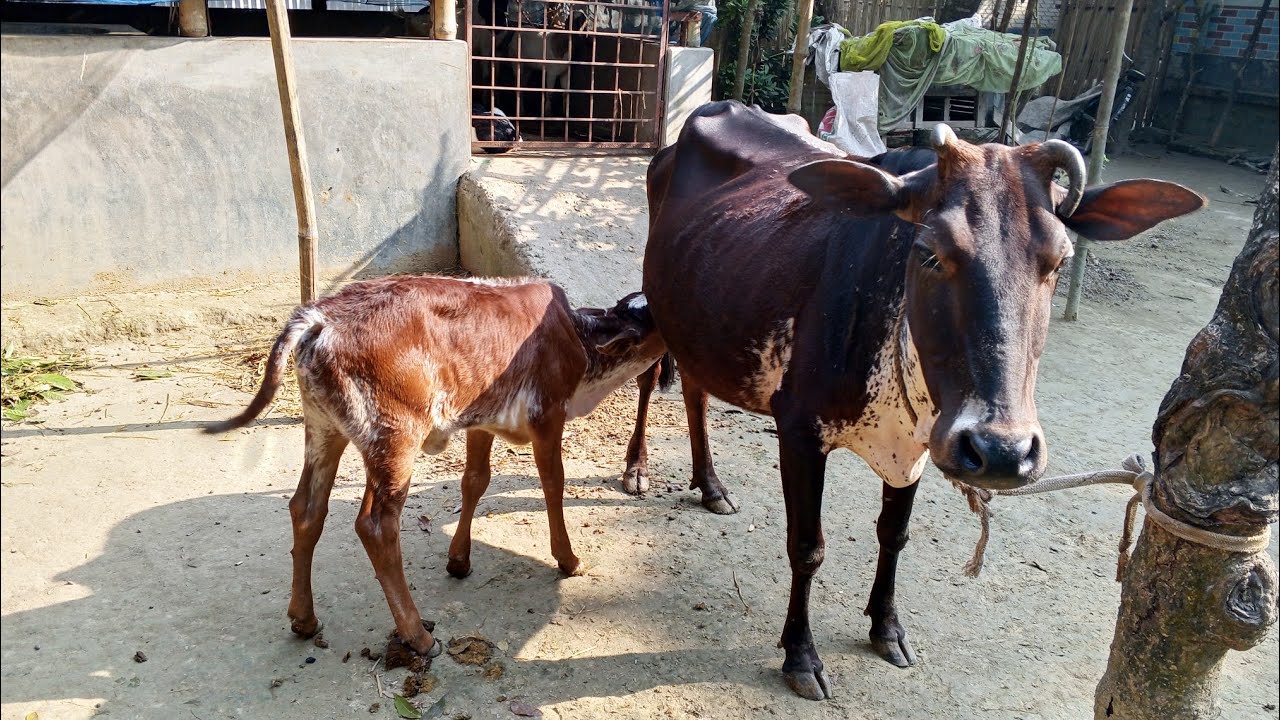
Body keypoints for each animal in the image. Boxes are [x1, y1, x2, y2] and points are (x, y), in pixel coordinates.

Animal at [205, 276, 668, 661]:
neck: (582, 342)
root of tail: (317, 319)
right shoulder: (547, 415)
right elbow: (553, 485)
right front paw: (569, 560)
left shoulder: (482, 419)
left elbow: (474, 482)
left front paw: (458, 561)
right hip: (396, 437)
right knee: (375, 525)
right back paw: (418, 635)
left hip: (325, 428)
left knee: (306, 509)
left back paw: (304, 618)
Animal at [623, 101, 1205, 699]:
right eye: (929, 254)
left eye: (1060, 260)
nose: (1002, 452)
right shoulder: (801, 431)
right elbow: (807, 547)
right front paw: (801, 656)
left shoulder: (921, 445)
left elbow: (894, 534)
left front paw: (887, 628)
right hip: (656, 305)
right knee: (650, 381)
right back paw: (638, 470)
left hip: (699, 324)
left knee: (695, 391)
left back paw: (711, 485)